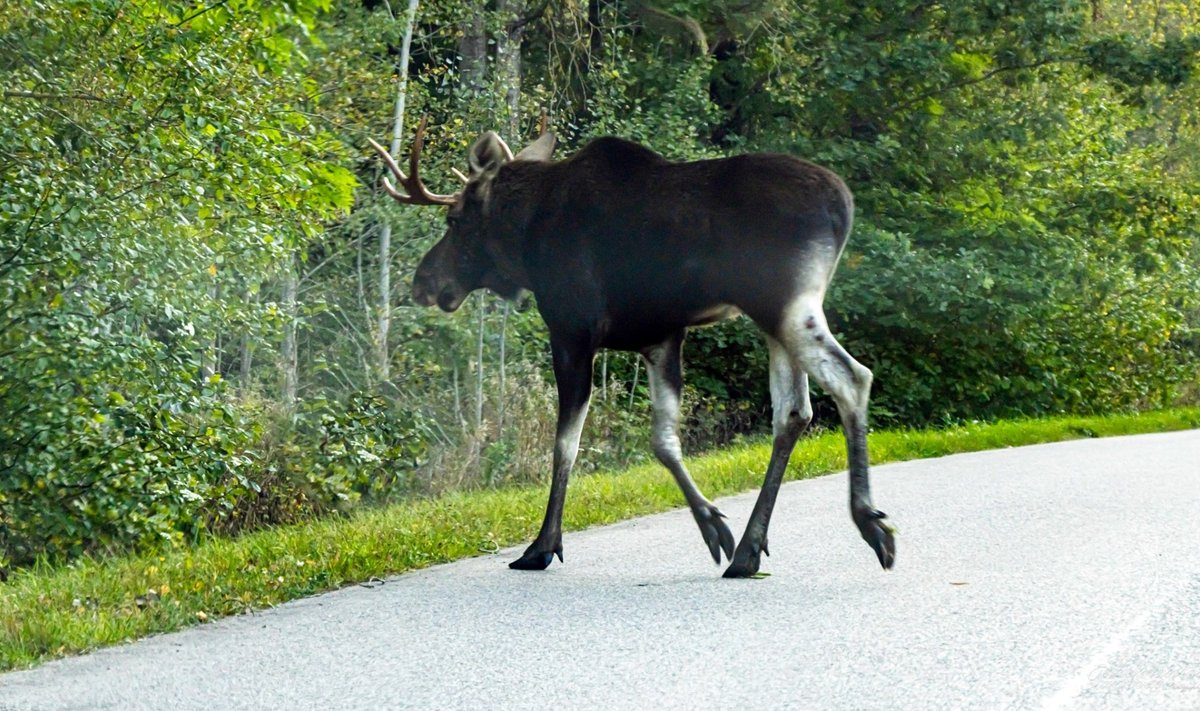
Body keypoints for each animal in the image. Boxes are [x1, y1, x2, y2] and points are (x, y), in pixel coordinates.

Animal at [369, 118, 897, 576]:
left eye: (455, 218)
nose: (424, 283)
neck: (524, 243)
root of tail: (843, 206)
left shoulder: (572, 331)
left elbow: (566, 445)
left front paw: (542, 545)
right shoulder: (660, 337)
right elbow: (662, 440)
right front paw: (712, 525)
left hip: (781, 302)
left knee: (852, 378)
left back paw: (870, 522)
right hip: (775, 318)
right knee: (793, 411)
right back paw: (749, 550)